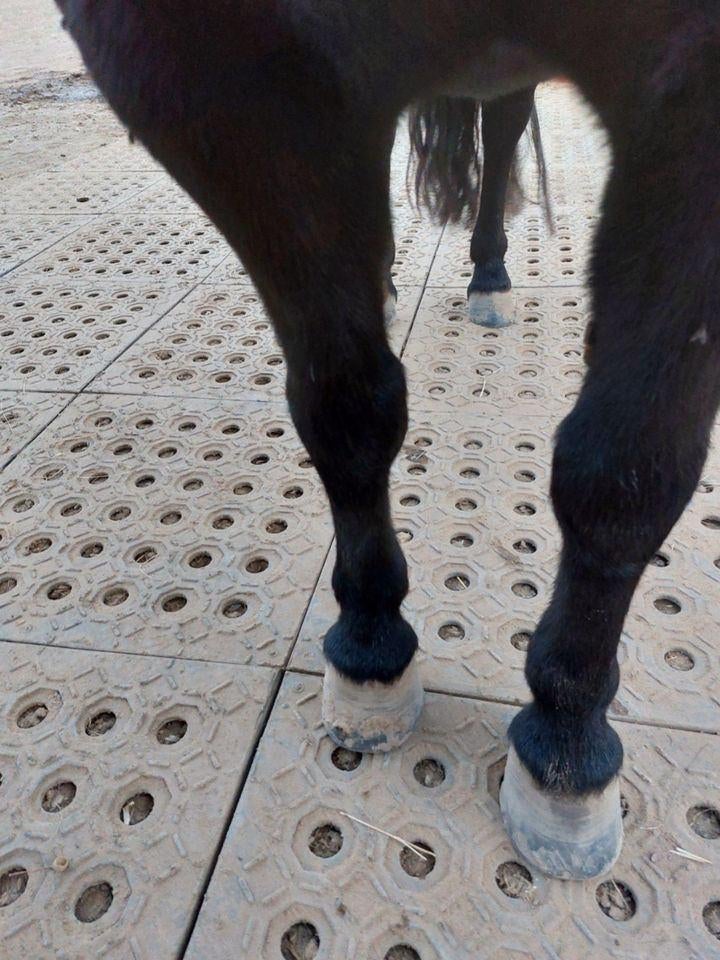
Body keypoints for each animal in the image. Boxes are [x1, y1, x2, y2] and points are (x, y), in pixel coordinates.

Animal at [56, 0, 720, 880]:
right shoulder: (226, 81)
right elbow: (346, 406)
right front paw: (370, 645)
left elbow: (628, 465)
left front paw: (566, 745)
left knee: (502, 126)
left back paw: (490, 275)